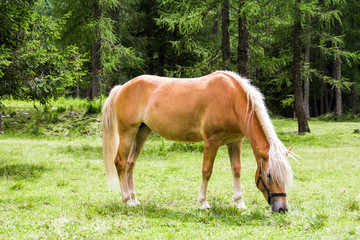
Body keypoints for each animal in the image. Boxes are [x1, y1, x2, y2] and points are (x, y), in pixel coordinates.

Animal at [102, 70, 296, 213]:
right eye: (269, 175)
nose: (282, 209)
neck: (231, 100)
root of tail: (122, 87)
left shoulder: (235, 142)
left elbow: (236, 170)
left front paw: (239, 202)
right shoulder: (211, 141)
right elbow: (206, 171)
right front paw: (203, 203)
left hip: (142, 132)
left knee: (130, 164)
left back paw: (134, 199)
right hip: (127, 132)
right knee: (120, 162)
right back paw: (126, 199)